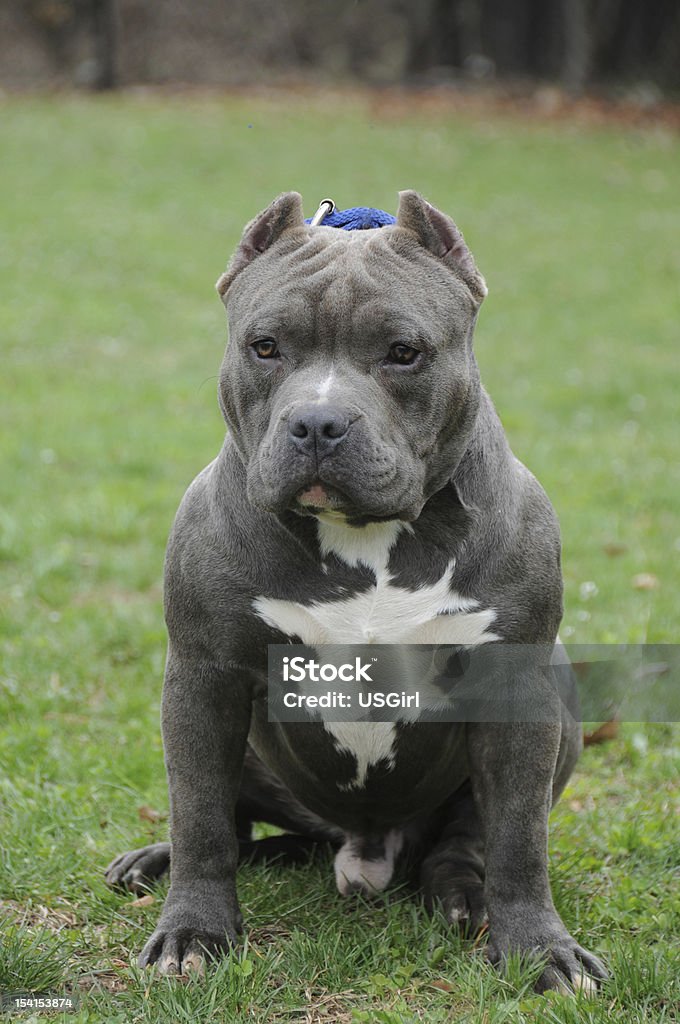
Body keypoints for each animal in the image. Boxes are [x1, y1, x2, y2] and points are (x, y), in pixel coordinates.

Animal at [107, 190, 610, 991]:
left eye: (404, 351)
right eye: (265, 347)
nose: (318, 422)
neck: (365, 541)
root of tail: (365, 849)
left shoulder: (519, 692)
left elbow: (519, 841)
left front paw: (540, 949)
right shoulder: (204, 677)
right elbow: (201, 821)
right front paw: (193, 932)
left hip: (557, 698)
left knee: (468, 838)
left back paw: (462, 892)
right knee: (237, 826)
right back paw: (152, 861)